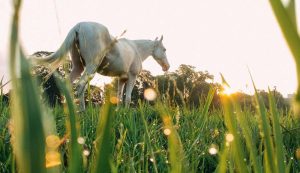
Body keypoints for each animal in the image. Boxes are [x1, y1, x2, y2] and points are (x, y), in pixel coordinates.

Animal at [33, 22, 170, 111]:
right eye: (164, 49)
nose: (167, 67)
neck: (136, 49)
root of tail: (79, 25)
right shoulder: (132, 76)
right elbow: (128, 97)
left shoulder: (122, 79)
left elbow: (119, 97)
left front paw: (120, 113)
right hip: (91, 67)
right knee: (80, 86)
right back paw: (82, 111)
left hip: (78, 67)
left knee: (68, 85)